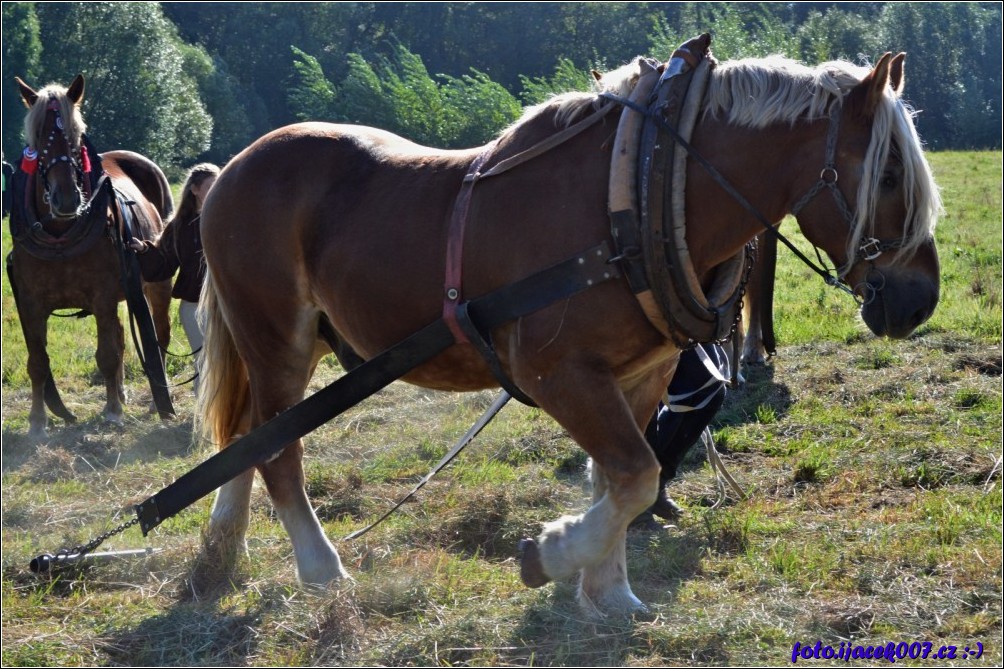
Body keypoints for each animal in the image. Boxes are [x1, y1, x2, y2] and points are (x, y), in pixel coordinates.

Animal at [9, 74, 174, 437]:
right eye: (38, 136)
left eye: (76, 136)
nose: (67, 199)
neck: (61, 235)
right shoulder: (31, 303)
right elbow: (37, 362)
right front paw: (37, 422)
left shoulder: (102, 297)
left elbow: (107, 354)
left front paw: (112, 412)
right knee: (122, 334)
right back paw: (121, 391)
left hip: (156, 282)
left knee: (159, 332)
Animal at [197, 46, 939, 610]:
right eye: (889, 173)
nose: (920, 301)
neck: (642, 193)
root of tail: (230, 171)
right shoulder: (558, 374)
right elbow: (635, 475)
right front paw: (553, 554)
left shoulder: (641, 375)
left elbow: (623, 482)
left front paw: (609, 592)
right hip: (275, 337)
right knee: (276, 451)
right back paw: (321, 568)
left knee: (246, 438)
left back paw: (220, 547)